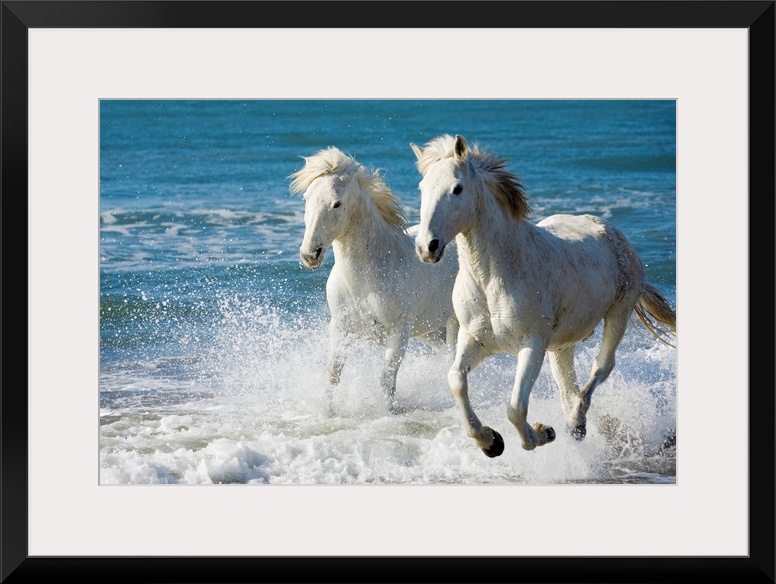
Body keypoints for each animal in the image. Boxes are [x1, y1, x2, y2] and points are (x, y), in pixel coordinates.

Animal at [292, 148, 460, 412]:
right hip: (428, 330)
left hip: (455, 322)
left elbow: (386, 381)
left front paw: (387, 413)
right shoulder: (340, 328)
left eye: (337, 203)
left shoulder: (399, 333)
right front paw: (327, 413)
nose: (310, 255)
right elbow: (332, 375)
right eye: (306, 199)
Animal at [412, 136, 672, 456]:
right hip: (562, 344)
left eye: (457, 188)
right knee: (566, 384)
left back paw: (574, 422)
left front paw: (542, 433)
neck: (492, 278)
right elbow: (456, 381)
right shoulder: (473, 339)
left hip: (617, 315)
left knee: (601, 367)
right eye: (422, 188)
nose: (427, 247)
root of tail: (612, 231)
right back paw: (575, 423)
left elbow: (515, 408)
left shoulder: (532, 347)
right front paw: (490, 441)